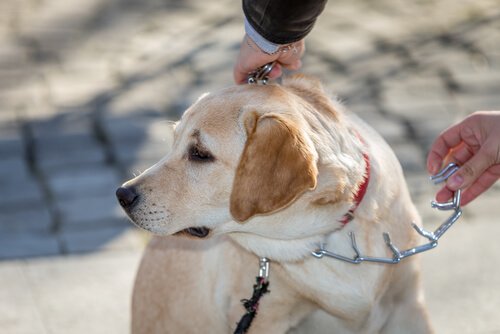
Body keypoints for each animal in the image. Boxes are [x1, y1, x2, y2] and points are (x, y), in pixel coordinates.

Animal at [117, 75, 434, 334]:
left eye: (199, 153)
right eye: (174, 142)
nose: (122, 195)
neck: (328, 235)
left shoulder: (410, 307)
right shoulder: (262, 321)